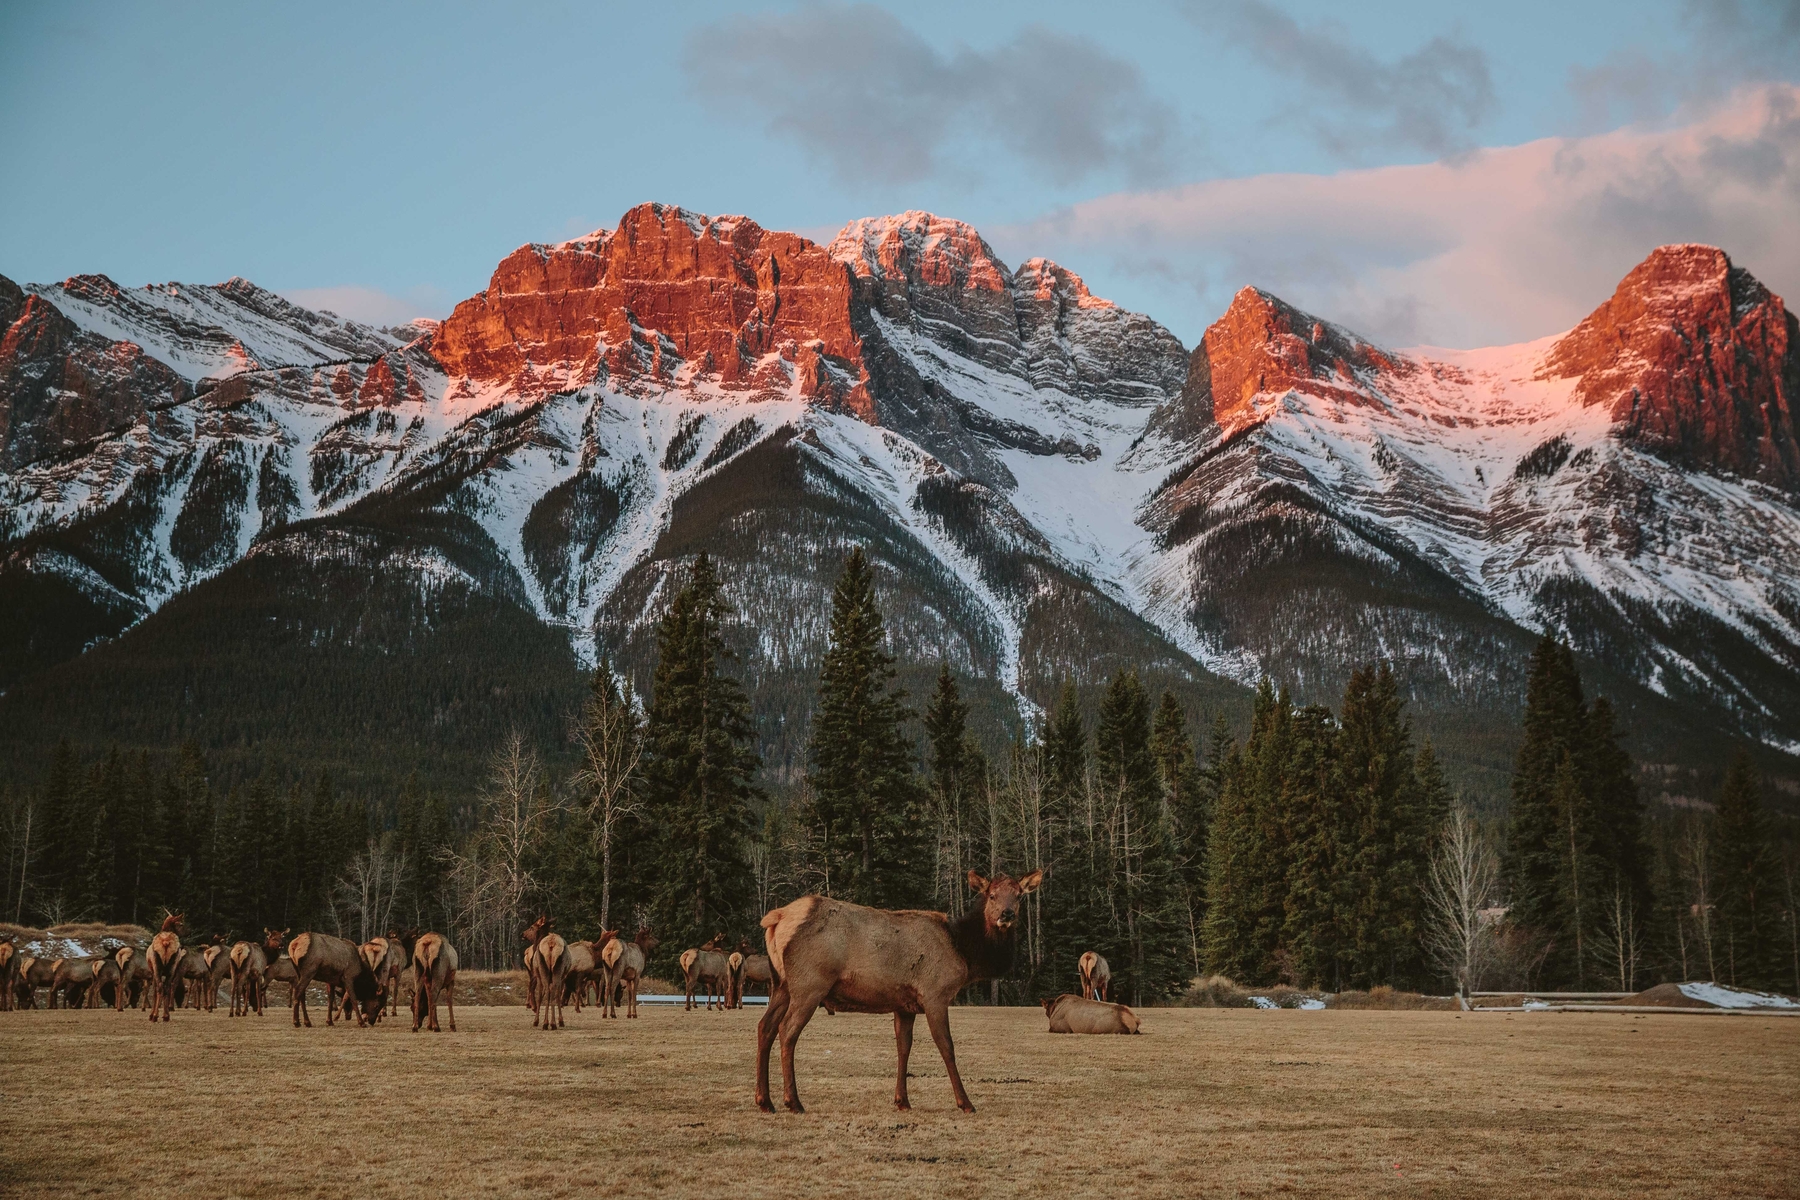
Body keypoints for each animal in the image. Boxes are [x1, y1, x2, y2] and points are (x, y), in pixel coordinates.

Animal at [755, 867, 1043, 1115]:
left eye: (1019, 895)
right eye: (991, 895)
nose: (1007, 914)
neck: (964, 953)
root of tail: (776, 918)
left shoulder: (905, 1005)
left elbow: (903, 1047)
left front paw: (902, 1100)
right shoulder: (935, 994)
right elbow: (946, 1046)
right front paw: (965, 1103)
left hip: (780, 985)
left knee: (765, 1027)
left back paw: (764, 1101)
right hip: (810, 984)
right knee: (787, 1030)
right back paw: (793, 1101)